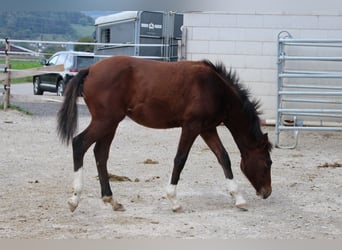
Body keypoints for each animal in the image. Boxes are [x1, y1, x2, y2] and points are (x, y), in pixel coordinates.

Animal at [58, 55, 272, 212]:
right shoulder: (192, 126)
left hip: (111, 124)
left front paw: (239, 199)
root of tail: (91, 69)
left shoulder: (207, 129)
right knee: (79, 143)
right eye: (267, 162)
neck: (215, 88)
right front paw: (174, 200)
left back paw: (111, 200)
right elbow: (180, 159)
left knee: (100, 154)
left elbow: (224, 158)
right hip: (105, 121)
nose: (266, 193)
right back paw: (74, 199)